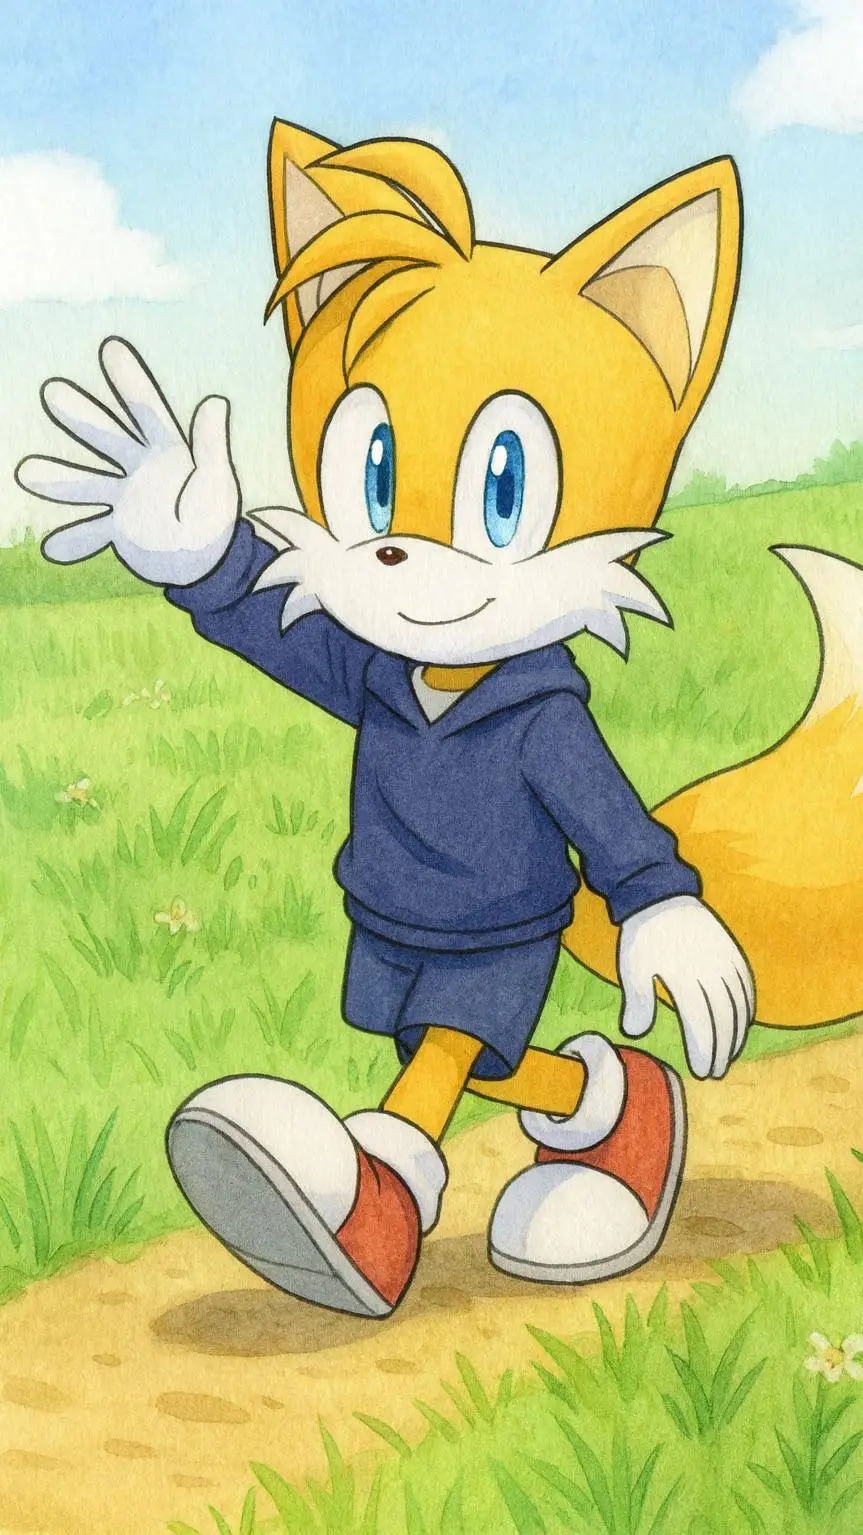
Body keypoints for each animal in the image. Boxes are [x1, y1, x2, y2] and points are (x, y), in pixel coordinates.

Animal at [14, 119, 863, 1318]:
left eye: (503, 487)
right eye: (369, 469)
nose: (390, 555)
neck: (448, 681)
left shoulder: (546, 743)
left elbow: (599, 855)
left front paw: (355, 1210)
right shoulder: (355, 663)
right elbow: (257, 619)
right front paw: (174, 511)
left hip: (479, 962)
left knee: (468, 1045)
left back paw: (615, 1126)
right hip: (380, 969)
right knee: (461, 1049)